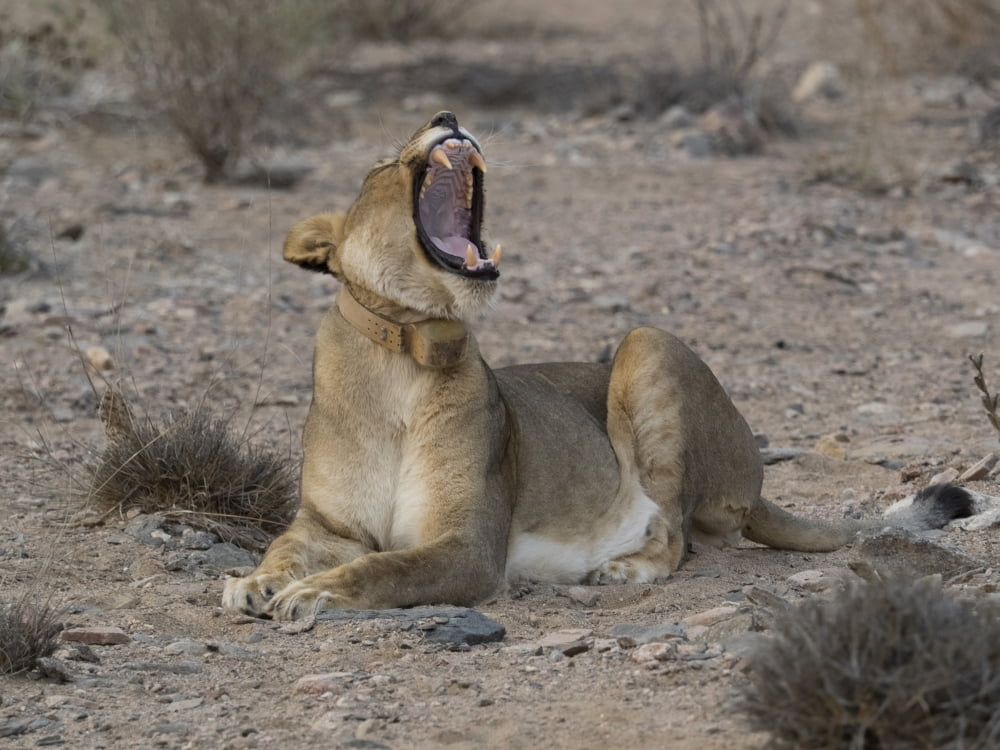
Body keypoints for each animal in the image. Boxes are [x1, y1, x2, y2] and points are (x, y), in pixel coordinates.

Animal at [222, 111, 971, 620]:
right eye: (380, 165)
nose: (447, 117)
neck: (402, 352)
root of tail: (754, 479)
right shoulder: (328, 526)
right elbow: (286, 547)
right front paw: (256, 582)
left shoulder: (468, 546)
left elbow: (383, 570)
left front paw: (312, 593)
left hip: (647, 343)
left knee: (673, 534)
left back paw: (620, 570)